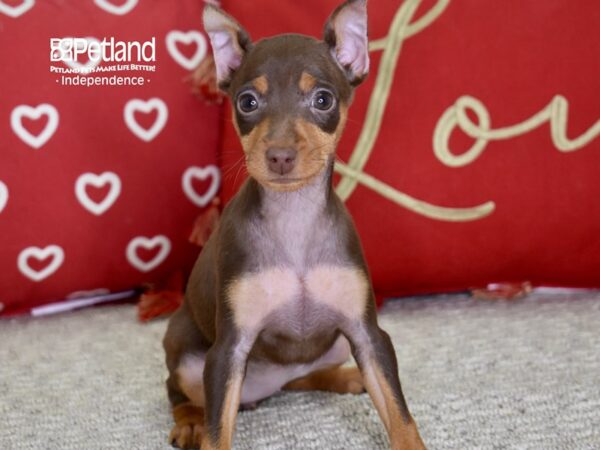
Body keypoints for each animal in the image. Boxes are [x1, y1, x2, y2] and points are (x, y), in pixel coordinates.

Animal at [164, 1, 426, 448]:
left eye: (323, 99)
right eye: (247, 102)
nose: (280, 156)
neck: (294, 219)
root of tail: (262, 390)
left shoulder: (369, 335)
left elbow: (400, 414)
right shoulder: (228, 350)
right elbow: (218, 431)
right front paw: (204, 427)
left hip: (335, 344)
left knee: (304, 375)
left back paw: (347, 377)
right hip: (185, 350)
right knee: (178, 388)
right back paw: (190, 420)